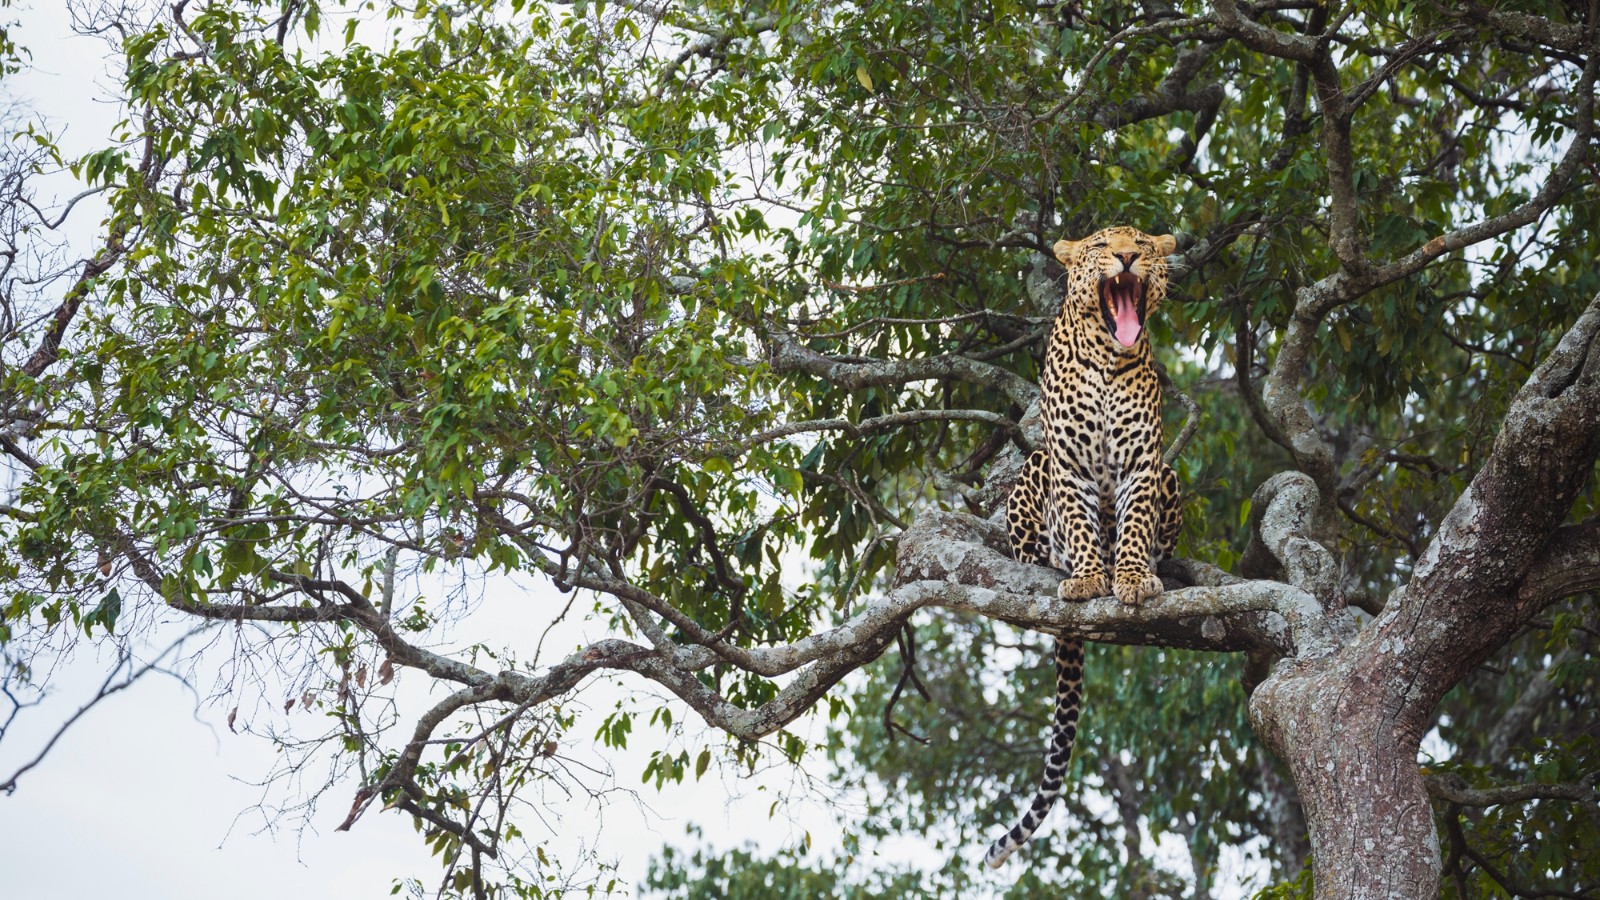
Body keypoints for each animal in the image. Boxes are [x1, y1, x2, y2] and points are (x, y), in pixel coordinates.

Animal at [979, 225, 1184, 871]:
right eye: (1100, 243)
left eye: (1144, 242)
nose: (1127, 255)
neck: (1110, 359)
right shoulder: (1066, 462)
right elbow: (1076, 515)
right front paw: (1091, 577)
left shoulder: (1144, 464)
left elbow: (1137, 523)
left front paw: (1133, 576)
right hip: (1035, 469)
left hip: (1169, 473)